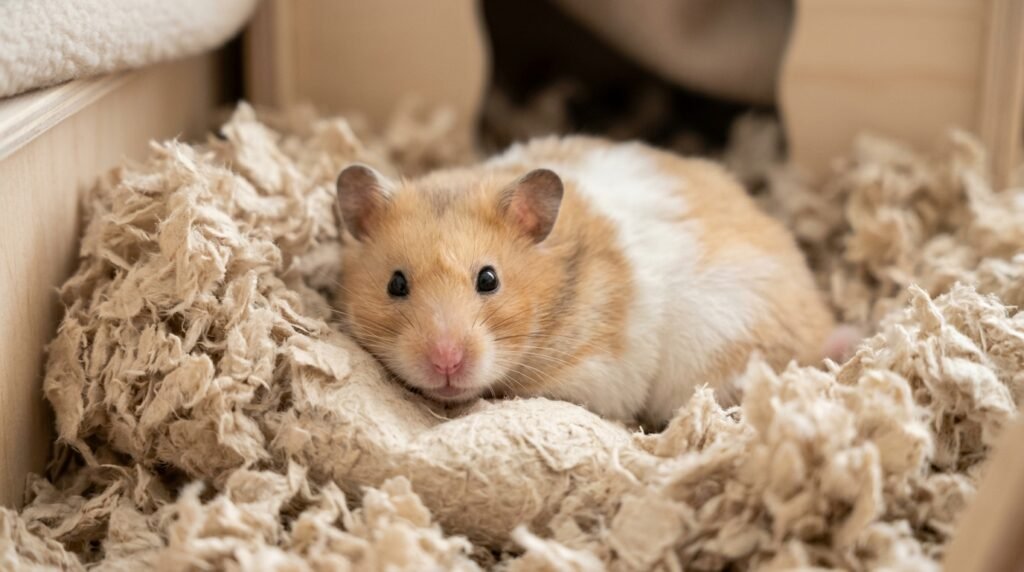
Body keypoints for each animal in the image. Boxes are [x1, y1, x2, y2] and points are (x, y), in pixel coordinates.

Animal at [332, 135, 837, 427]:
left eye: (489, 279)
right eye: (396, 284)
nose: (446, 363)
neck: (560, 292)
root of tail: (825, 326)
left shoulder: (600, 374)